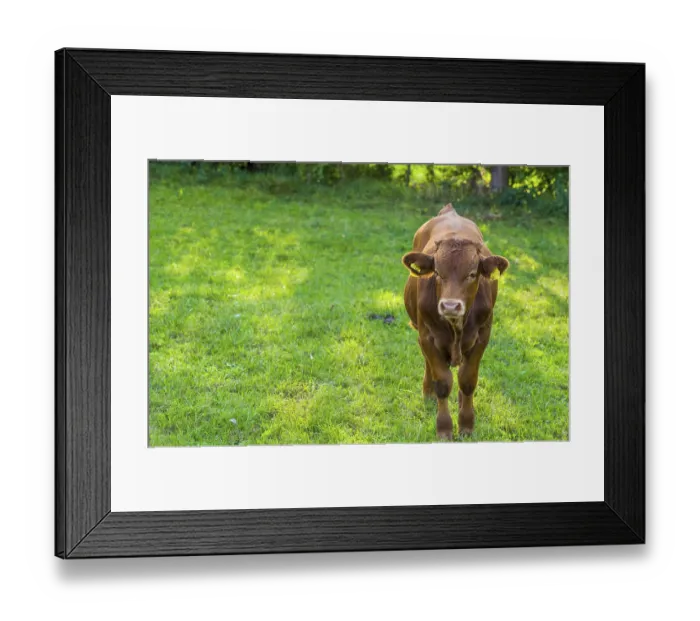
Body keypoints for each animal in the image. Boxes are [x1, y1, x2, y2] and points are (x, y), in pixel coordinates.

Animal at [402, 204, 509, 440]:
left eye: (472, 274)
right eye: (437, 273)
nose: (450, 306)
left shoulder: (482, 337)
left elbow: (467, 380)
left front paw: (467, 424)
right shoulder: (428, 337)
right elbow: (443, 382)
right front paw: (444, 428)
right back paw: (429, 393)